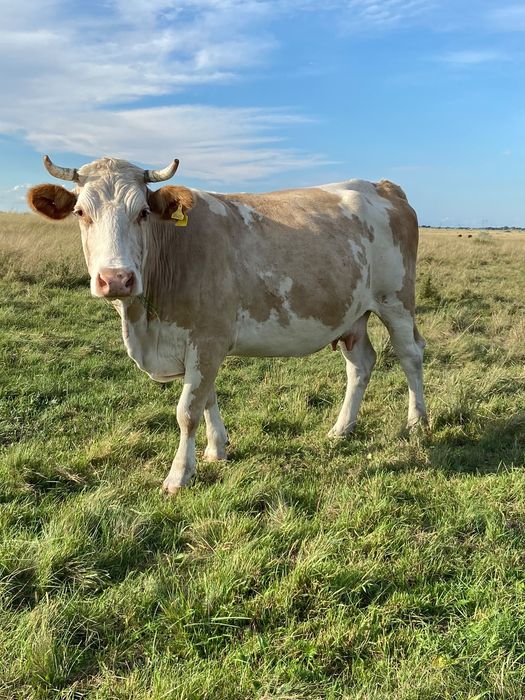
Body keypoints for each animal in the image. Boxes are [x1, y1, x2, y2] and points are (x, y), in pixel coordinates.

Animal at [27, 156, 427, 494]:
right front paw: (217, 448)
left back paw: (417, 423)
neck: (144, 324)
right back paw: (341, 430)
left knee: (410, 355)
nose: (116, 279)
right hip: (352, 314)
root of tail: (381, 185)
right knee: (360, 364)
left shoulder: (208, 340)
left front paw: (178, 475)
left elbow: (187, 411)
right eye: (81, 212)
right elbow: (206, 398)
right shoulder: (201, 344)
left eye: (142, 213)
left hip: (396, 300)